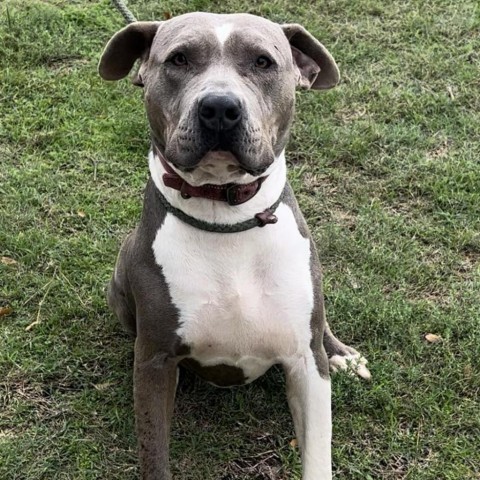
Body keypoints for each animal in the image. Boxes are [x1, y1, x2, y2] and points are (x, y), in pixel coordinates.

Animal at [99, 12, 370, 480]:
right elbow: (154, 452)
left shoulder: (304, 363)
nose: (220, 108)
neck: (225, 218)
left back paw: (341, 353)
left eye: (263, 62)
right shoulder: (153, 362)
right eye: (179, 59)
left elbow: (318, 452)